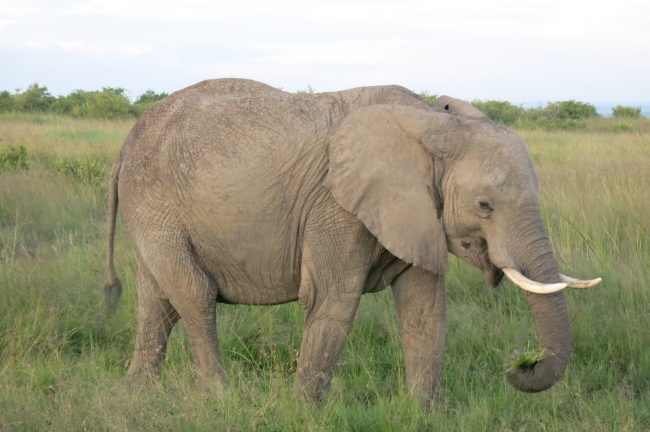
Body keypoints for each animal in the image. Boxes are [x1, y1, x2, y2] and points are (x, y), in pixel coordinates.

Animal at [102, 79, 596, 406]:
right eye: (485, 205)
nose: (520, 362)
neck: (433, 122)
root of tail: (123, 147)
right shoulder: (336, 206)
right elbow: (331, 299)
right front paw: (304, 413)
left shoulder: (416, 213)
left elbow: (425, 308)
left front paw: (422, 415)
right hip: (154, 201)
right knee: (194, 295)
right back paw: (221, 400)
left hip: (154, 210)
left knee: (157, 300)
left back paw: (137, 396)